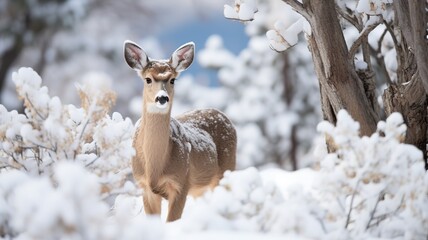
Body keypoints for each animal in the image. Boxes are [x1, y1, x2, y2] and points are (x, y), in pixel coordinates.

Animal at [123, 40, 237, 221]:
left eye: (172, 80)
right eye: (148, 79)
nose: (162, 98)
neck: (154, 168)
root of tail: (222, 114)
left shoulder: (181, 182)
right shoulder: (144, 186)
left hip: (227, 168)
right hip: (201, 188)